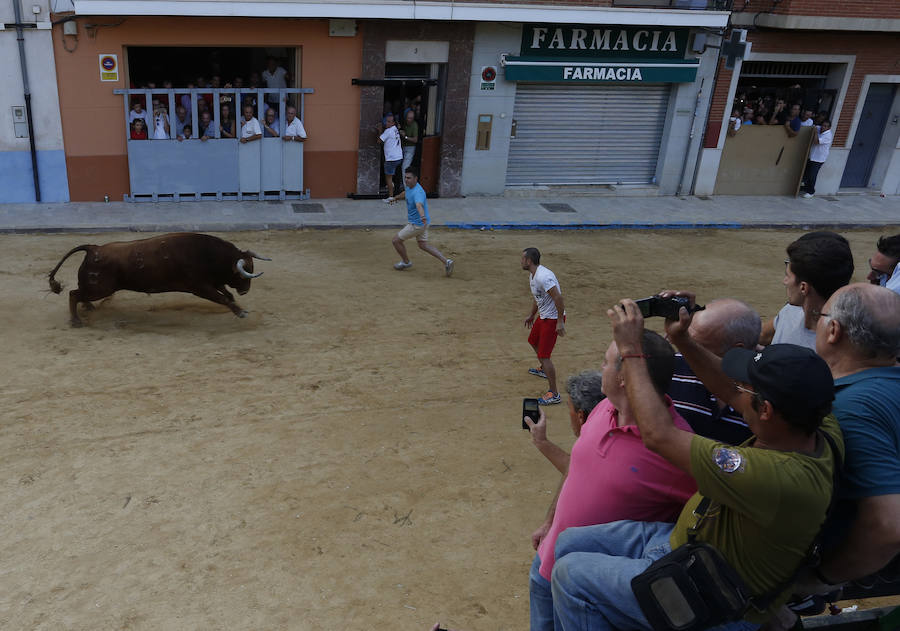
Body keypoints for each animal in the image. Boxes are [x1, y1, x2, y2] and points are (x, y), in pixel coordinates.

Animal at [48, 232, 270, 326]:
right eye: (242, 273)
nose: (245, 290)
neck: (210, 255)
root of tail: (93, 248)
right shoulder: (199, 287)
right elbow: (223, 298)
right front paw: (241, 313)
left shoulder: (214, 282)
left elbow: (227, 295)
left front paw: (239, 307)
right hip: (101, 288)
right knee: (73, 293)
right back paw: (76, 321)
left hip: (97, 288)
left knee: (79, 293)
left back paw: (88, 308)